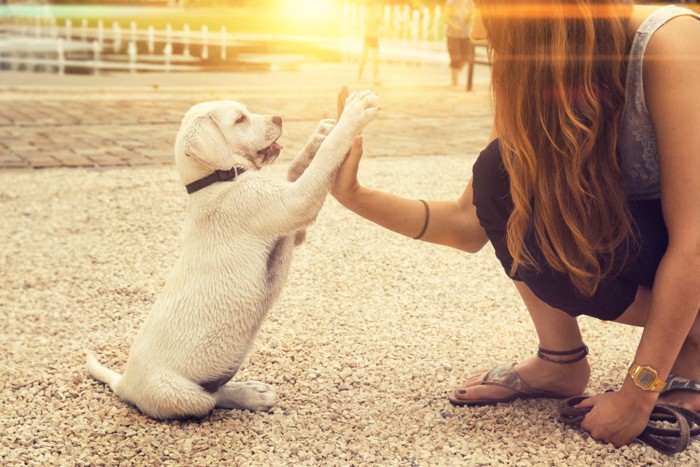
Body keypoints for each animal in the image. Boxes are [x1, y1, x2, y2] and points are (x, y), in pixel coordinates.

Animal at [89, 89, 380, 418]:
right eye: (240, 119)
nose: (279, 118)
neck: (219, 181)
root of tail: (124, 383)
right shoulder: (294, 203)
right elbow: (324, 159)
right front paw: (354, 113)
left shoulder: (292, 227)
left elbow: (297, 168)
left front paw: (318, 135)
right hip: (182, 395)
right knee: (212, 399)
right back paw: (250, 396)